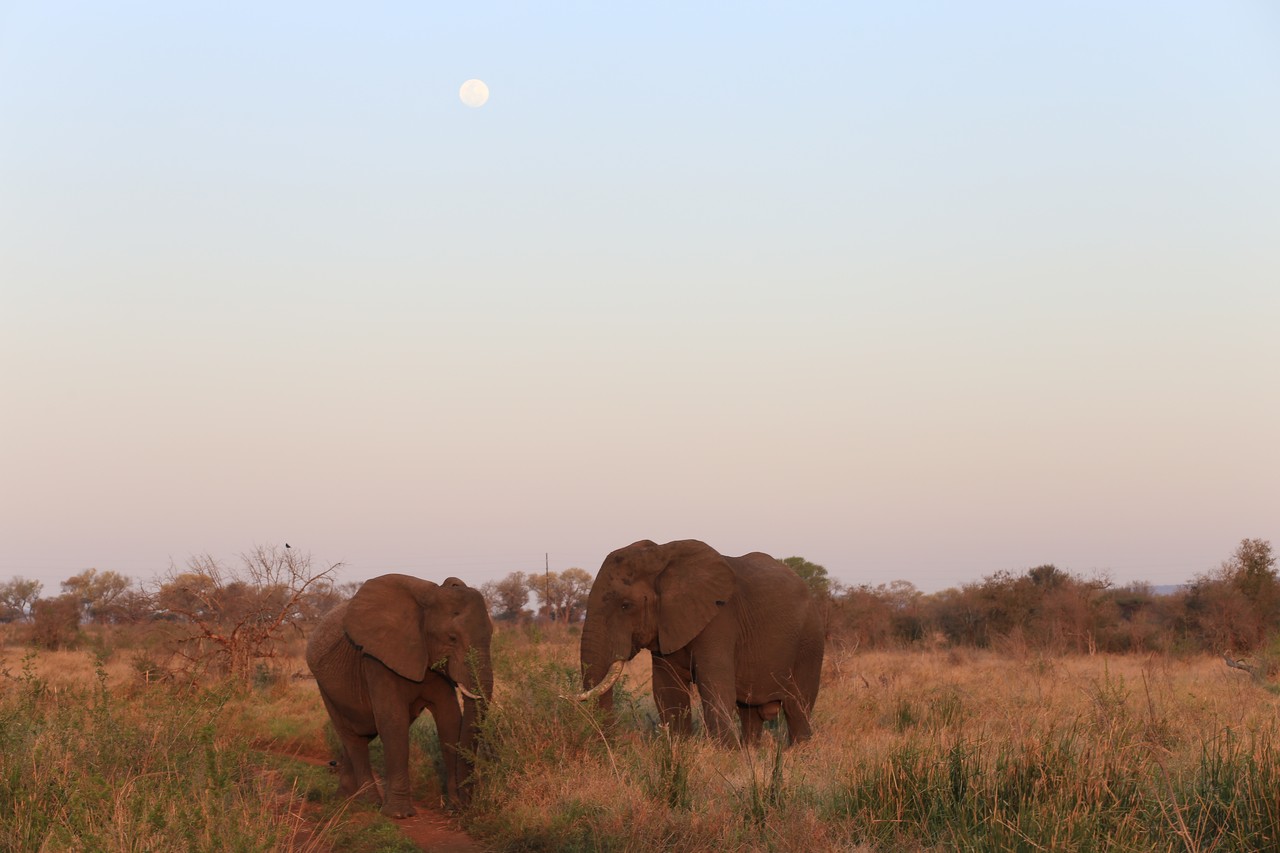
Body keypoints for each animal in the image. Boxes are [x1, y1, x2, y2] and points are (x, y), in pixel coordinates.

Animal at [305, 574, 493, 817]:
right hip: (325, 686)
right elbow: (393, 721)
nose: (465, 807)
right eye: (452, 638)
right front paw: (399, 814)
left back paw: (345, 799)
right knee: (352, 737)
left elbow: (449, 721)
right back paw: (369, 802)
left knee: (362, 733)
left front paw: (454, 808)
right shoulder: (377, 659)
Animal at [576, 539, 824, 746]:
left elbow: (715, 687)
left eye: (626, 605)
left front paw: (725, 757)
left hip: (810, 642)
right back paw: (751, 753)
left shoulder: (719, 620)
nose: (610, 743)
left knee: (797, 706)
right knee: (750, 713)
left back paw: (799, 754)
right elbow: (668, 691)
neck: (662, 557)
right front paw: (679, 750)